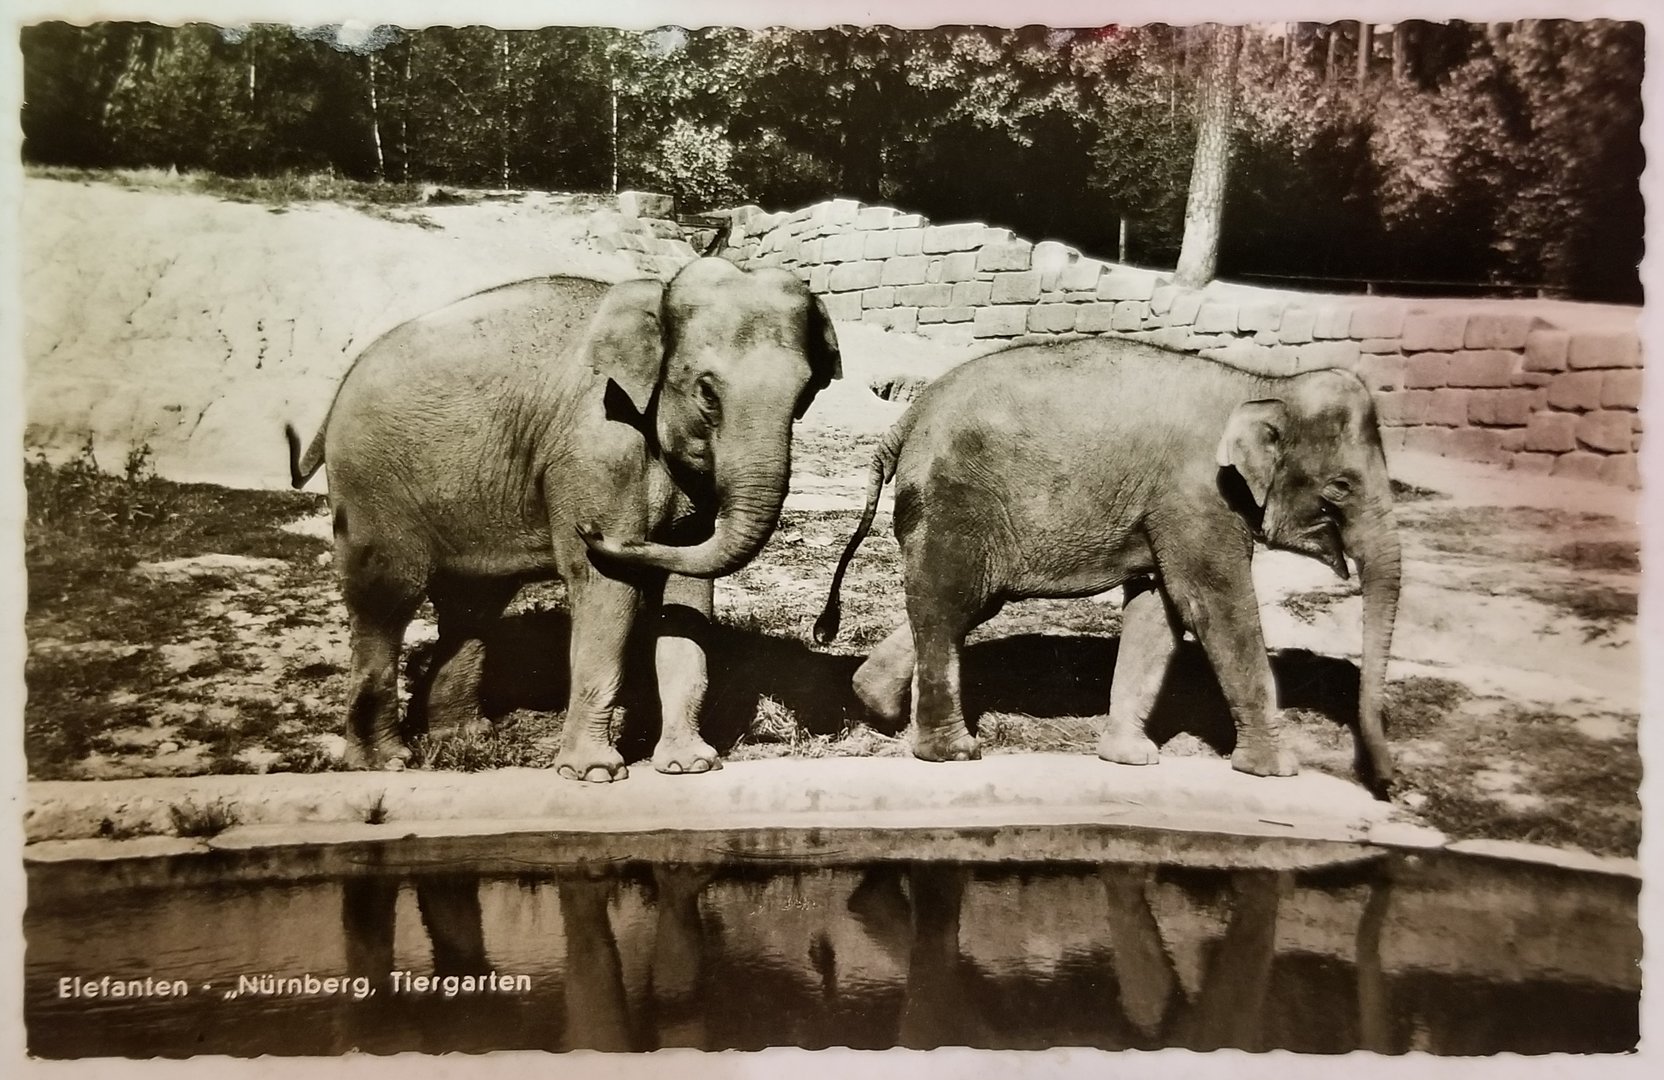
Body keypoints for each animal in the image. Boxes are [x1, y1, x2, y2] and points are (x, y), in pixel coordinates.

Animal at [286, 257, 841, 779]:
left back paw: (467, 738)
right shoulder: (595, 451)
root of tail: (336, 396)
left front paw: (690, 765)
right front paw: (595, 772)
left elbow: (689, 594)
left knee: (472, 605)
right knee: (386, 600)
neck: (655, 296)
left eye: (805, 394)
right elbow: (606, 586)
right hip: (371, 485)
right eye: (707, 392)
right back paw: (383, 761)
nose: (591, 531)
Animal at [814, 339, 1400, 789]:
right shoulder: (1197, 498)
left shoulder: (1169, 509)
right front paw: (1276, 772)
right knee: (950, 605)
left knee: (965, 605)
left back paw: (875, 704)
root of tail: (907, 417)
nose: (1384, 783)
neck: (1261, 384)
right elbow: (1213, 605)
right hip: (953, 499)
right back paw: (955, 753)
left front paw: (1130, 759)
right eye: (1340, 488)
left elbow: (1159, 611)